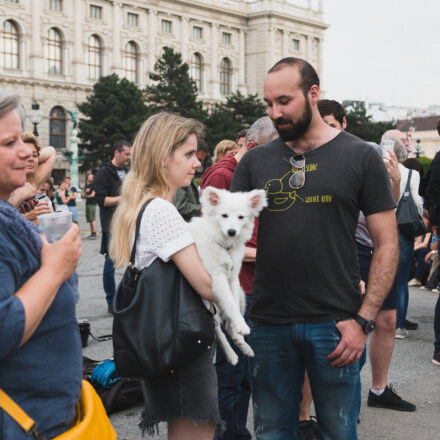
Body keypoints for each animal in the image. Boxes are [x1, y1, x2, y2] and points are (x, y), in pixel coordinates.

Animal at [187, 186, 266, 364]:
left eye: (241, 217)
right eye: (224, 215)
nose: (231, 231)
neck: (224, 245)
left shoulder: (233, 277)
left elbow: (233, 304)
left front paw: (239, 328)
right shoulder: (217, 278)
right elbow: (230, 303)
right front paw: (241, 326)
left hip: (242, 298)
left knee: (226, 326)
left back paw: (243, 344)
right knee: (218, 332)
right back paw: (231, 355)